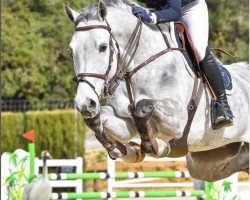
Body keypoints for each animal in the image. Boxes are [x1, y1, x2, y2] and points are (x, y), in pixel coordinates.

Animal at [64, 0, 248, 181]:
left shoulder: (178, 118)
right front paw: (119, 147)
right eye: (72, 52)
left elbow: (142, 107)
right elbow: (99, 120)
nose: (84, 104)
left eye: (103, 47)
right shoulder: (126, 121)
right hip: (207, 162)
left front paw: (157, 146)